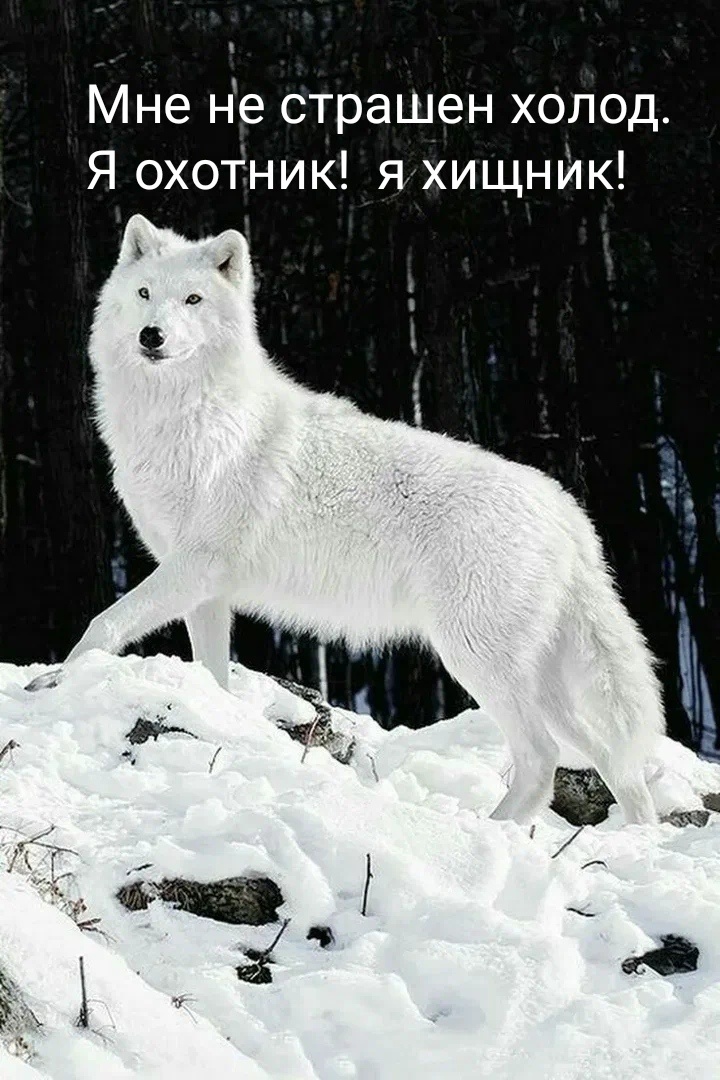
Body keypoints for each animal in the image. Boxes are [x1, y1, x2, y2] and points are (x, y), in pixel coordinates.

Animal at [28, 215, 664, 824]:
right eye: (144, 293)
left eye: (192, 300)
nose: (152, 335)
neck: (185, 418)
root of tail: (565, 509)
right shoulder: (205, 590)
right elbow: (213, 675)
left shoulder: (196, 567)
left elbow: (102, 624)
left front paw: (50, 683)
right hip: (539, 680)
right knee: (614, 761)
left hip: (476, 659)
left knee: (542, 758)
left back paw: (487, 833)